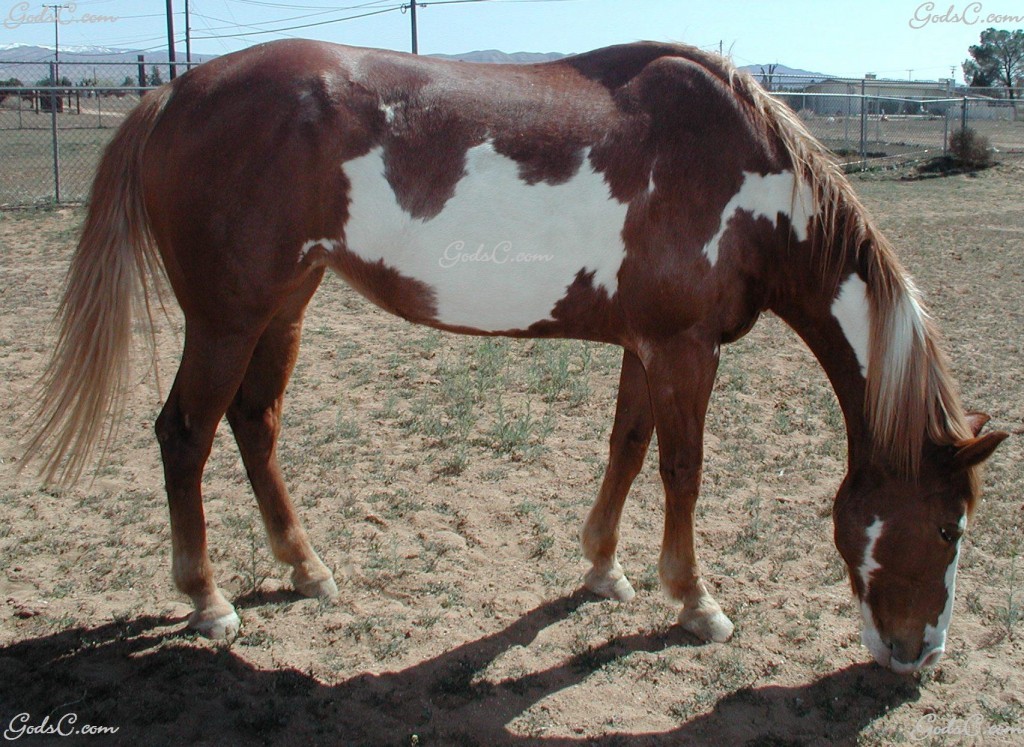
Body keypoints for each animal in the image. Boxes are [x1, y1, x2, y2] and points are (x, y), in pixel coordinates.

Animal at [23, 40, 1006, 674]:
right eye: (949, 527)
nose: (921, 658)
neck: (741, 175)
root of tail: (178, 92)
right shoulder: (685, 350)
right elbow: (683, 469)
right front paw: (696, 602)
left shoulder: (647, 345)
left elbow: (627, 449)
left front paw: (605, 569)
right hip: (227, 316)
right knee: (185, 434)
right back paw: (208, 599)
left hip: (283, 305)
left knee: (253, 423)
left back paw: (307, 570)